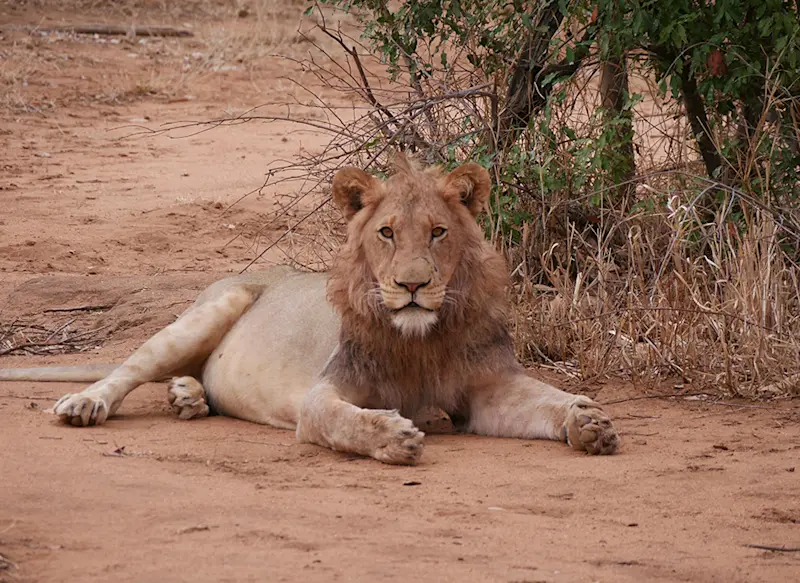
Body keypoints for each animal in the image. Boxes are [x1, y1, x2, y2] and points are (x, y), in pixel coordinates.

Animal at [0, 156, 618, 464]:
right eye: (387, 233)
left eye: (438, 232)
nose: (412, 285)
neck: (422, 338)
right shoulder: (324, 392)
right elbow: (341, 420)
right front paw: (392, 437)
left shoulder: (488, 388)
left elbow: (546, 400)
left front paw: (587, 422)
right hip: (213, 307)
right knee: (128, 368)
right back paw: (87, 403)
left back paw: (188, 397)